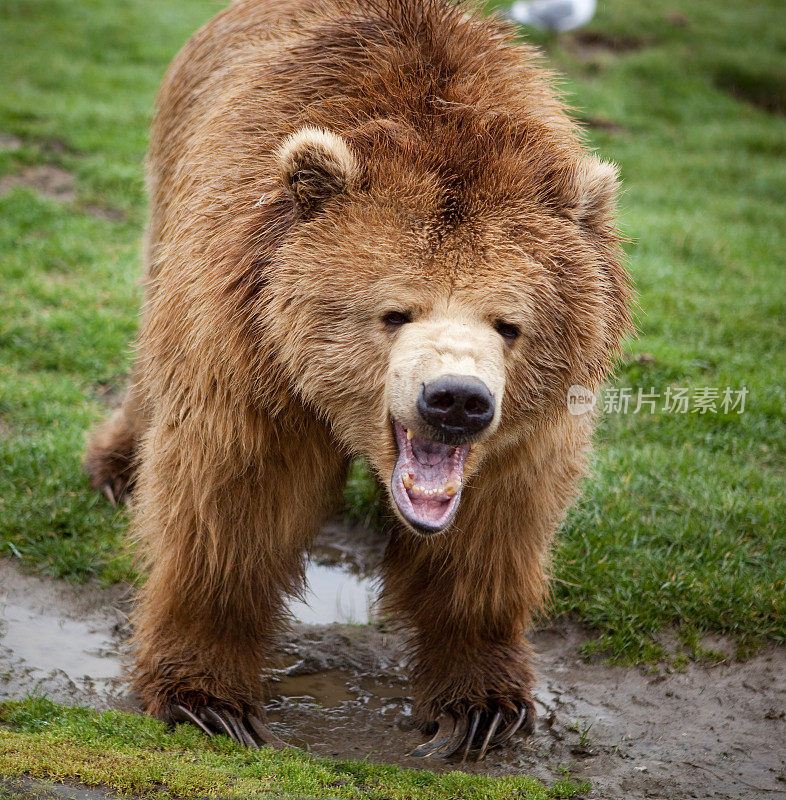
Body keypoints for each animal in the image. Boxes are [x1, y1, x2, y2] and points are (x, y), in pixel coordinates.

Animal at [84, 0, 632, 760]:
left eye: (508, 324)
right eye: (395, 312)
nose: (456, 400)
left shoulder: (527, 433)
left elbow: (492, 537)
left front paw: (481, 705)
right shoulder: (256, 363)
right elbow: (229, 506)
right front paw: (209, 698)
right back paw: (115, 465)